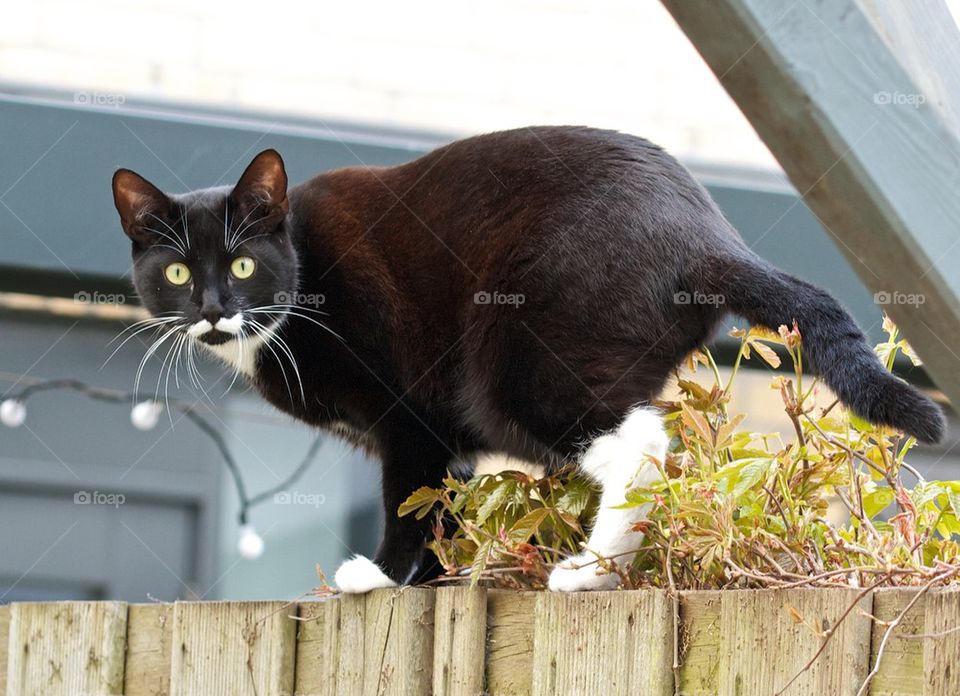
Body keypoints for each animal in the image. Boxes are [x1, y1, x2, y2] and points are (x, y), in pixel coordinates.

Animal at [112, 125, 944, 592]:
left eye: (243, 265)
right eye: (178, 273)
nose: (213, 307)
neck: (299, 280)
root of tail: (706, 234)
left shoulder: (410, 413)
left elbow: (410, 499)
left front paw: (377, 576)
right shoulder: (442, 435)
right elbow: (443, 502)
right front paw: (434, 583)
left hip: (518, 366)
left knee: (640, 443)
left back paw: (586, 574)